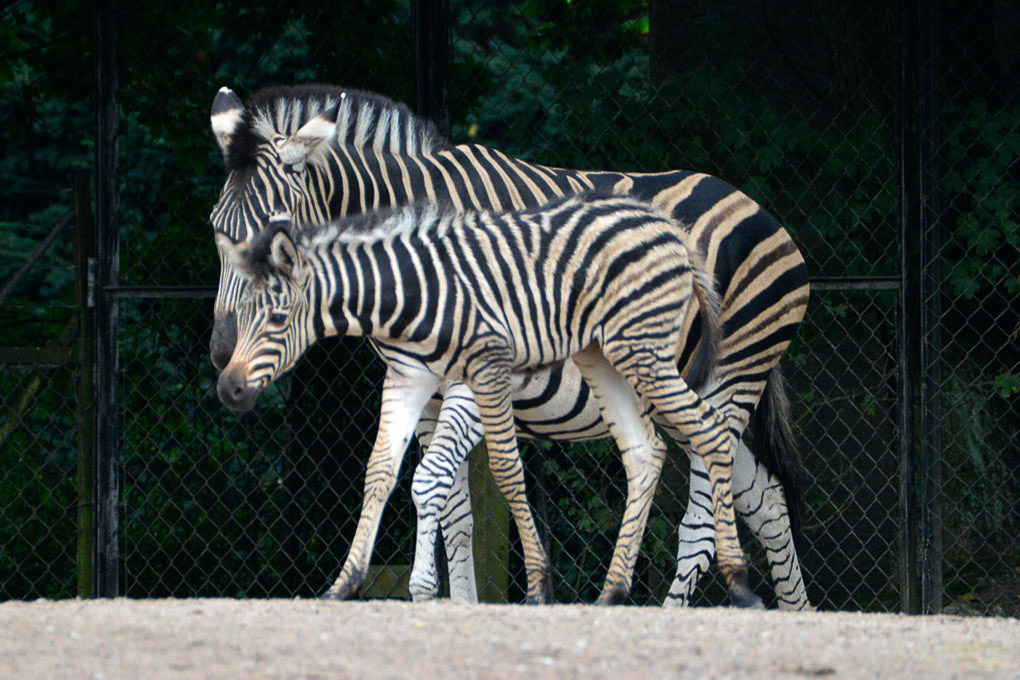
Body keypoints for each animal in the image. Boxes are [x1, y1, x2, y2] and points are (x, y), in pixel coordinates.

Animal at [208, 84, 812, 609]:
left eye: (277, 228)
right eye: (215, 229)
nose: (221, 351)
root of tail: (754, 205)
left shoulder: (484, 372)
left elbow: (434, 481)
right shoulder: (425, 391)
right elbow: (450, 505)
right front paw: (455, 603)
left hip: (731, 378)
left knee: (700, 520)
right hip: (689, 390)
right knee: (764, 498)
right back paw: (793, 611)